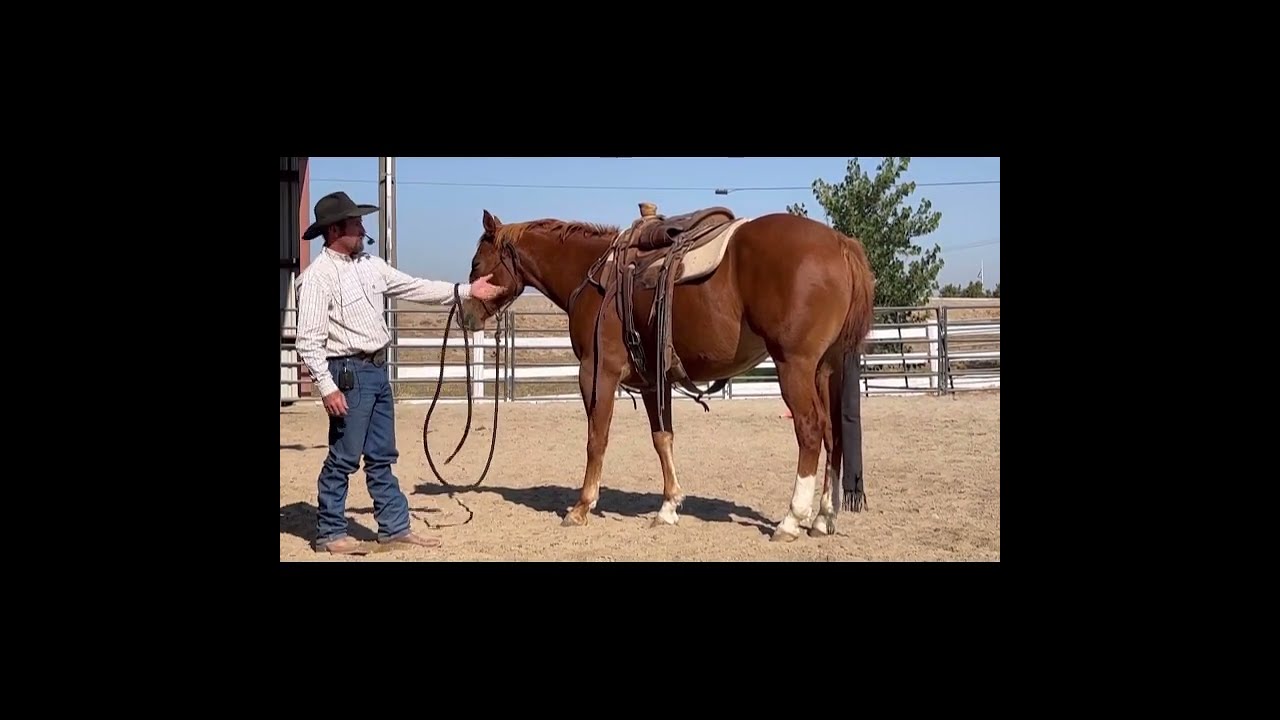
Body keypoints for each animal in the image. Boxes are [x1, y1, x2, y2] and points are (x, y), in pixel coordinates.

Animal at [455, 205, 876, 542]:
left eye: (476, 263)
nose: (466, 316)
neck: (592, 275)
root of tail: (840, 243)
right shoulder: (652, 382)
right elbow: (662, 439)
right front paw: (669, 507)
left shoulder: (596, 373)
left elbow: (596, 439)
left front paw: (581, 507)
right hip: (825, 368)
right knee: (833, 433)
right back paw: (822, 518)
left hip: (794, 366)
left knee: (810, 431)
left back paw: (791, 520)